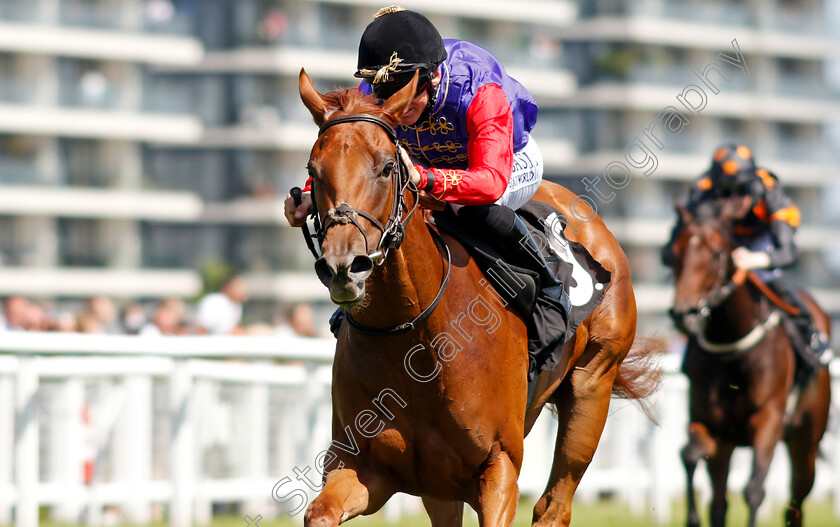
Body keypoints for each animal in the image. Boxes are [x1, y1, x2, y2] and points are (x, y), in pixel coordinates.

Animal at [298, 70, 660, 527]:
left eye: (386, 167)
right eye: (313, 170)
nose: (344, 266)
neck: (413, 339)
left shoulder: (499, 468)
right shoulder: (364, 468)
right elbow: (319, 513)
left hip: (593, 383)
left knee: (553, 506)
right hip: (438, 488)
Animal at [668, 204, 828, 527]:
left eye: (716, 253)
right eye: (675, 252)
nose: (683, 313)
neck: (732, 348)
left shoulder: (769, 418)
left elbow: (754, 489)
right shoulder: (707, 421)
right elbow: (689, 454)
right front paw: (692, 517)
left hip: (806, 440)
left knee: (796, 501)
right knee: (719, 502)